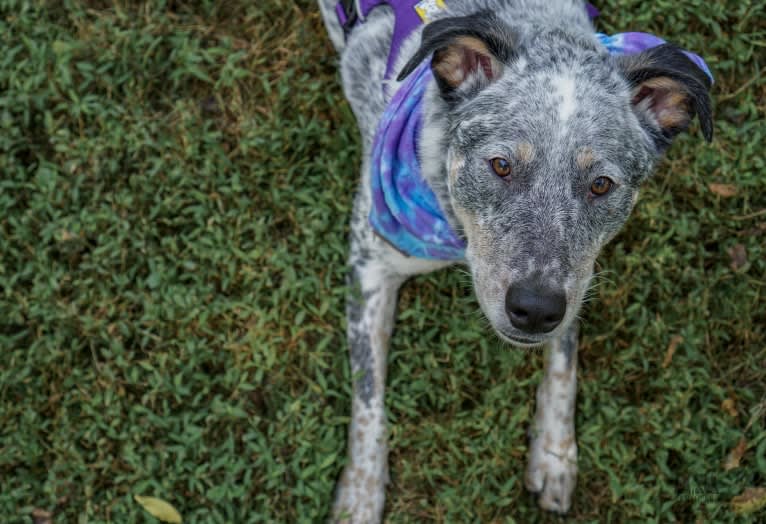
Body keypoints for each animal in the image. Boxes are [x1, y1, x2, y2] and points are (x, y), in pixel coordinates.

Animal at [318, 0, 712, 520]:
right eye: (501, 165)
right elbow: (368, 394)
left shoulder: (574, 278)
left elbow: (564, 360)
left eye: (601, 184)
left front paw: (555, 453)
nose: (535, 310)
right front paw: (360, 497)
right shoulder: (370, 262)